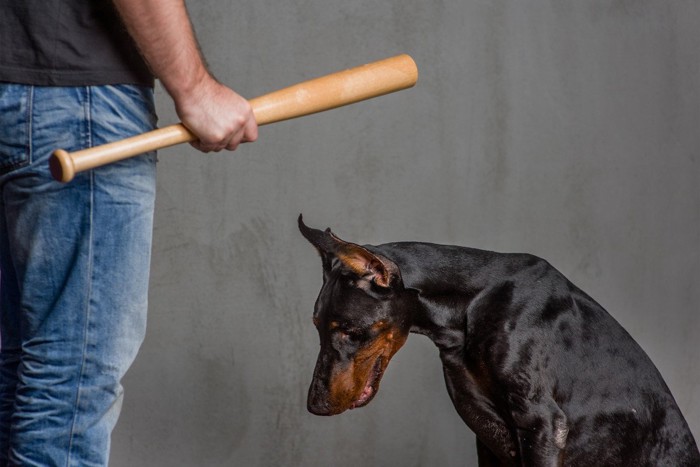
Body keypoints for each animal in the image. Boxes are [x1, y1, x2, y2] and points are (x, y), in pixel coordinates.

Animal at [300, 217, 700, 467]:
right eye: (316, 327)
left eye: (351, 332)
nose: (314, 407)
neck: (468, 307)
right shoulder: (487, 437)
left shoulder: (543, 425)